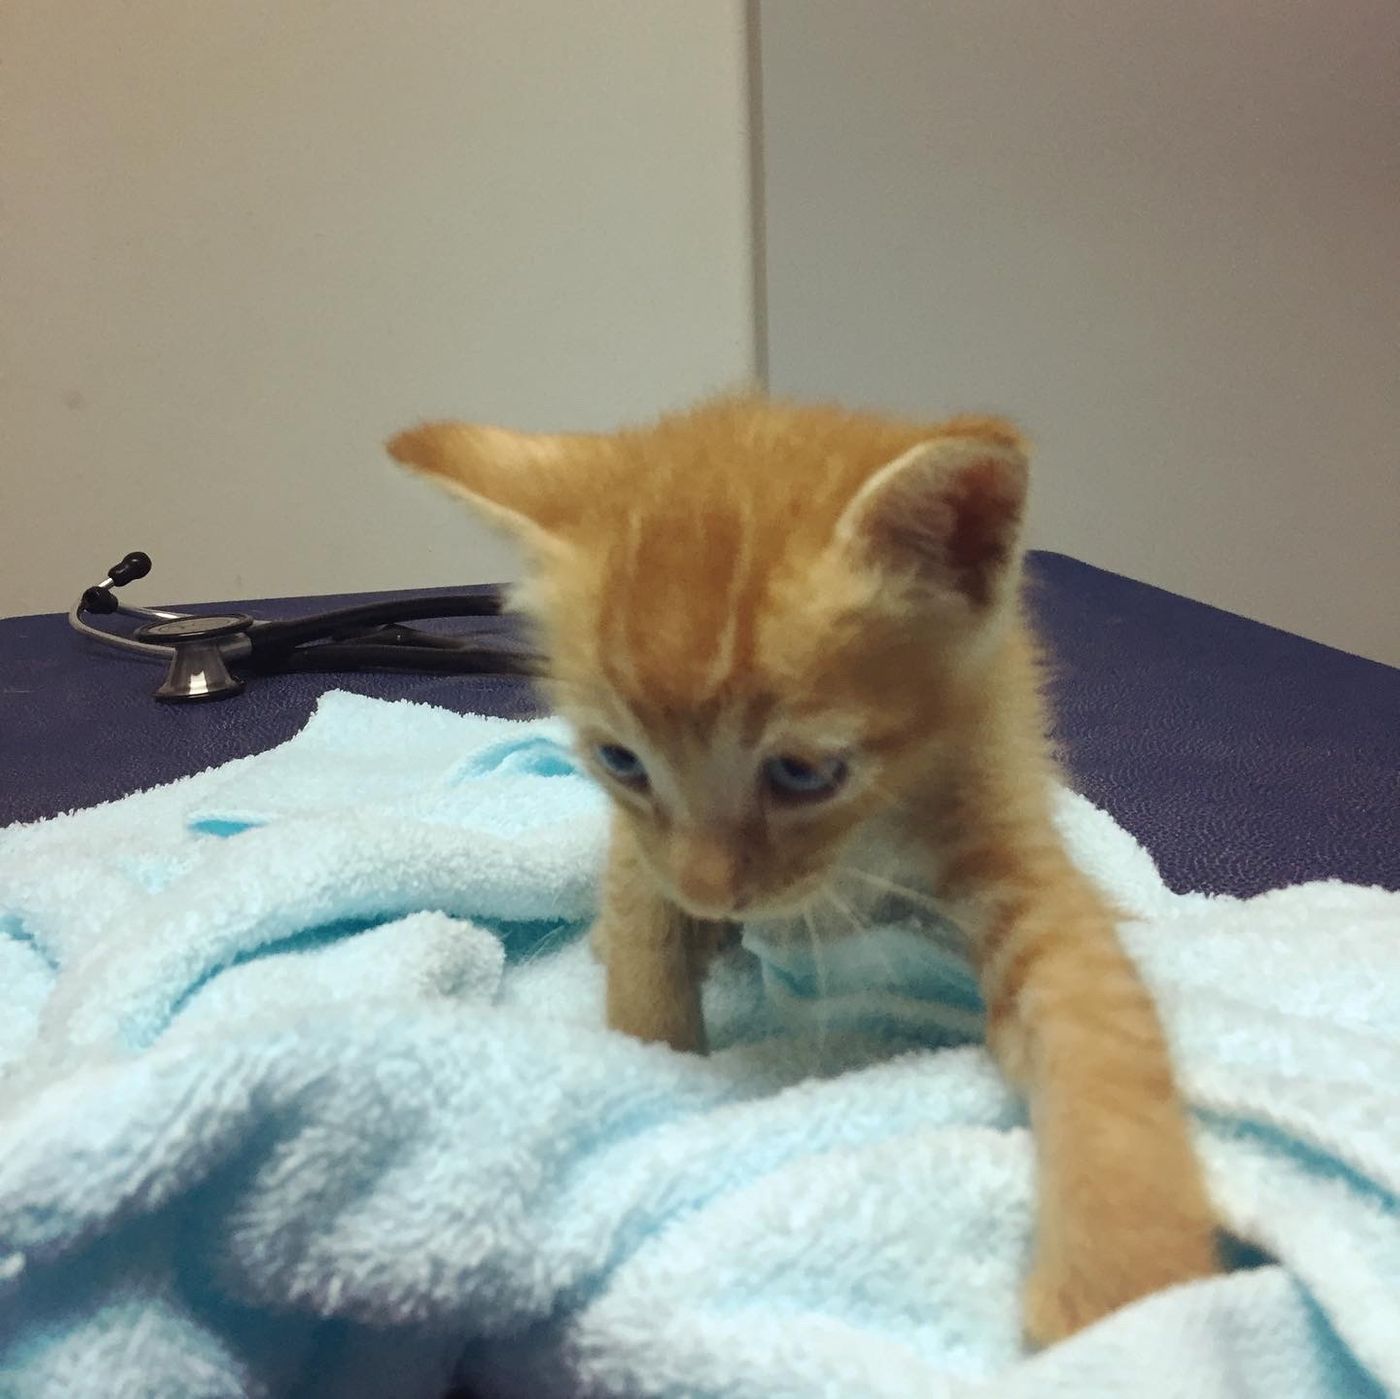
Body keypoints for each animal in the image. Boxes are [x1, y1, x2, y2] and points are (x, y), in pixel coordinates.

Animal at [387, 393, 1218, 1345]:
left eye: (803, 773)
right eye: (621, 761)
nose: (710, 892)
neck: (868, 835)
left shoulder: (1003, 816)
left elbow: (1096, 1015)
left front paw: (1123, 1280)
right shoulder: (645, 852)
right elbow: (642, 932)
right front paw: (651, 1074)